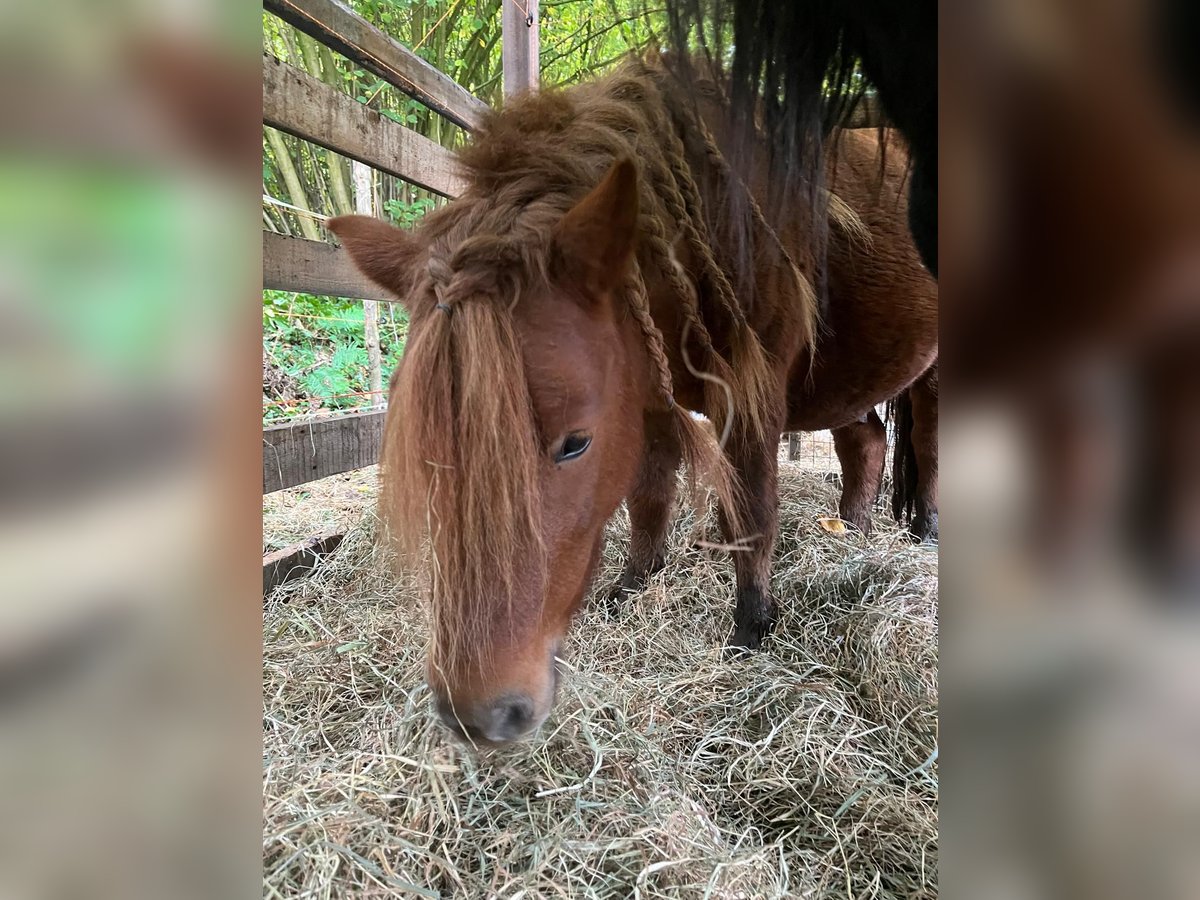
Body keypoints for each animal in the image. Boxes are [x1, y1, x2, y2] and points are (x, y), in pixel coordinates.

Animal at [328, 58, 936, 748]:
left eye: (575, 443)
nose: (481, 716)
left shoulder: (751, 395)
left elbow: (750, 510)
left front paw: (751, 628)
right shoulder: (645, 395)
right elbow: (648, 495)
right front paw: (633, 583)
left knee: (924, 441)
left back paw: (926, 529)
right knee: (868, 442)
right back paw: (856, 532)